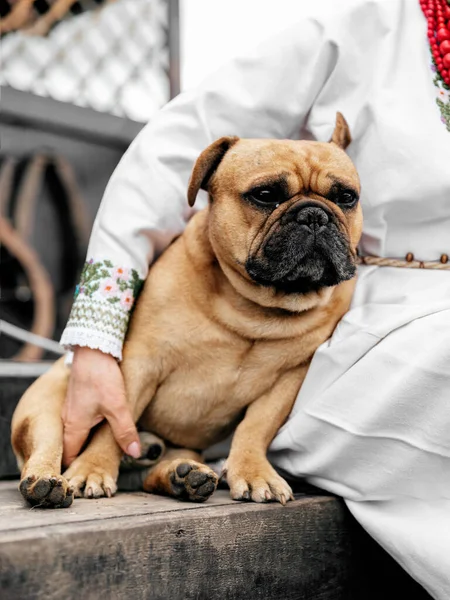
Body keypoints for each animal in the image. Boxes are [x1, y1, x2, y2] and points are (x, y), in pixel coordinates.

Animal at [10, 111, 362, 506]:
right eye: (265, 195)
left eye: (346, 197)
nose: (315, 216)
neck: (254, 307)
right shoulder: (137, 366)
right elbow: (111, 426)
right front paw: (92, 469)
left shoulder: (288, 380)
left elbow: (256, 427)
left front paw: (254, 472)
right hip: (47, 407)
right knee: (46, 446)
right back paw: (46, 483)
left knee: (151, 473)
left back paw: (183, 476)